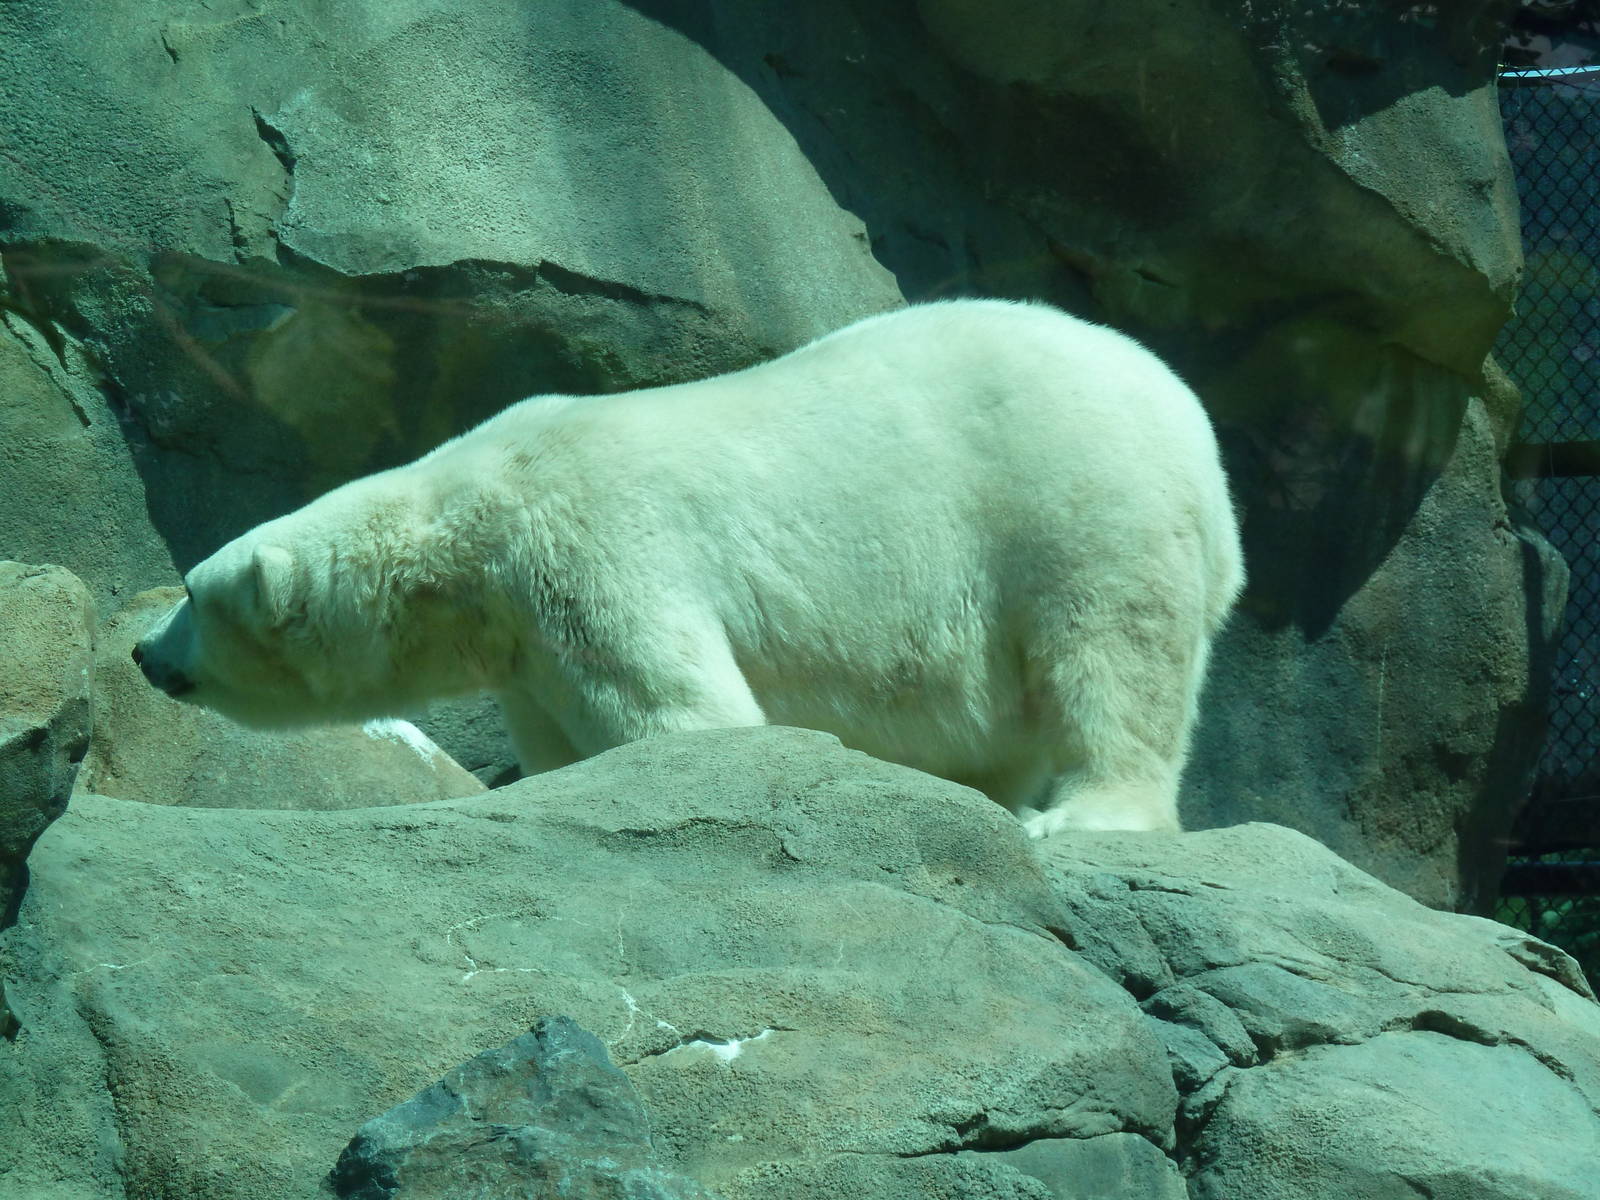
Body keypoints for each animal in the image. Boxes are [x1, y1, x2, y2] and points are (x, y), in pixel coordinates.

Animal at [134, 300, 1243, 835]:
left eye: (189, 591)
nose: (145, 654)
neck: (472, 512)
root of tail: (1196, 436)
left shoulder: (584, 549)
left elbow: (682, 712)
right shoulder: (524, 651)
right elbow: (567, 746)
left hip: (1077, 499)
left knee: (1115, 655)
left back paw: (1088, 814)